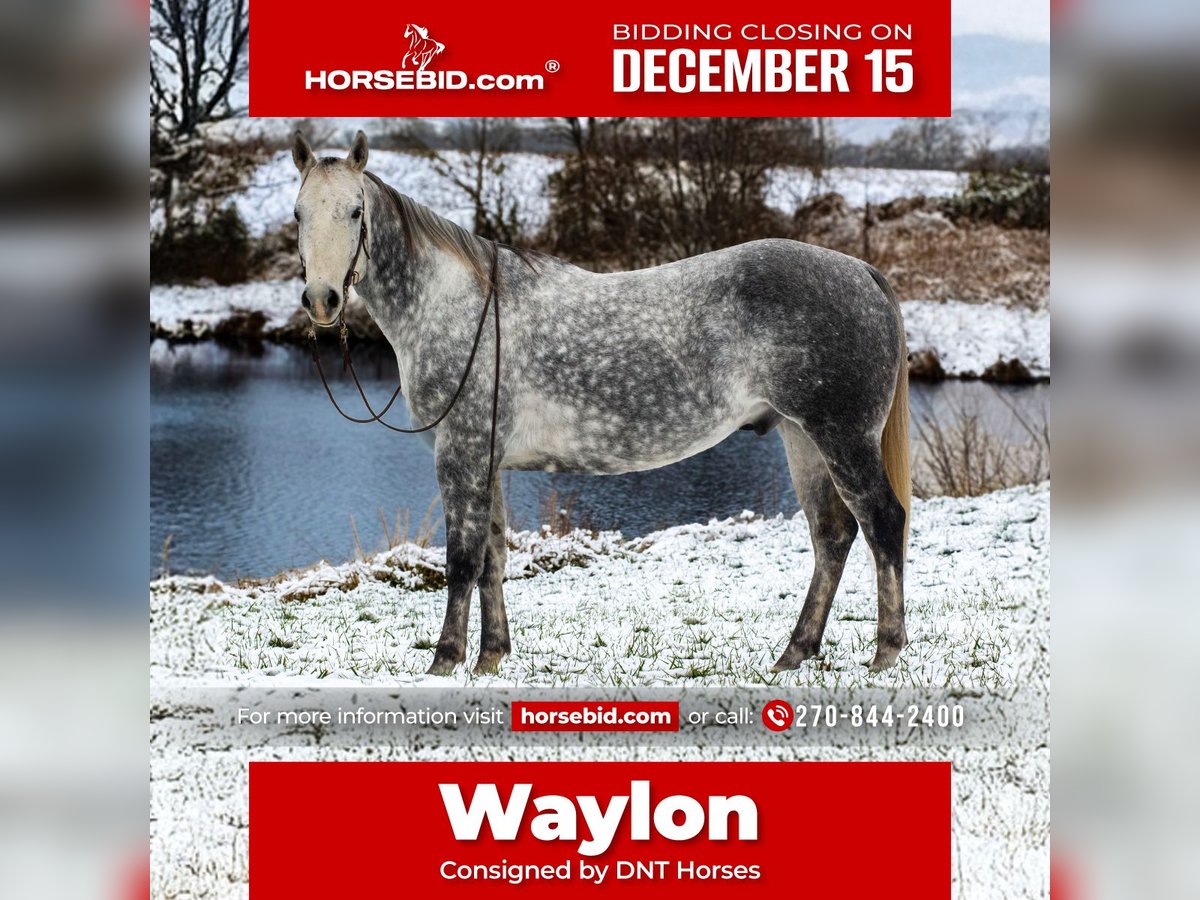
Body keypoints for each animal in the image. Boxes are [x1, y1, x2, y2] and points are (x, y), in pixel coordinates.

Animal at [290, 130, 912, 677]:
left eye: (354, 211)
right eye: (298, 214)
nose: (322, 300)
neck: (457, 306)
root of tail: (861, 272)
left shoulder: (459, 454)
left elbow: (462, 560)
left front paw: (445, 661)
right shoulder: (486, 459)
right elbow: (494, 555)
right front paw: (491, 658)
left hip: (842, 438)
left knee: (883, 522)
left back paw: (885, 652)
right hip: (802, 437)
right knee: (832, 536)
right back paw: (795, 652)